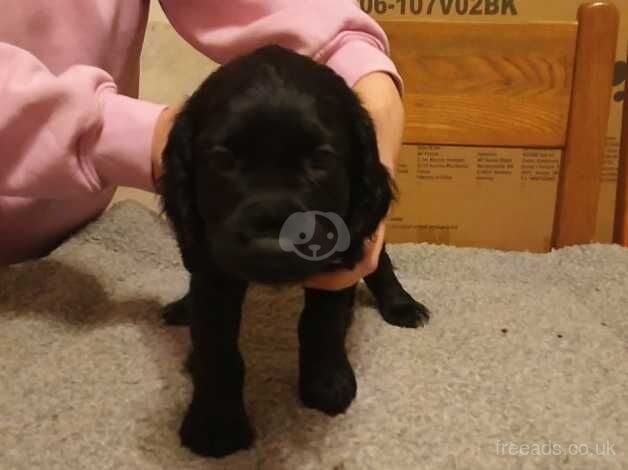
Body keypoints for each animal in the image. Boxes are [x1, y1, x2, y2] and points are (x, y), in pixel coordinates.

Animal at [159, 45, 430, 458]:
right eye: (222, 160)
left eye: (321, 159)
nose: (273, 241)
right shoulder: (212, 271)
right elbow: (217, 345)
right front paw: (215, 424)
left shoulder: (340, 258)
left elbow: (321, 322)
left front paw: (327, 383)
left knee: (380, 262)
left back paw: (401, 304)